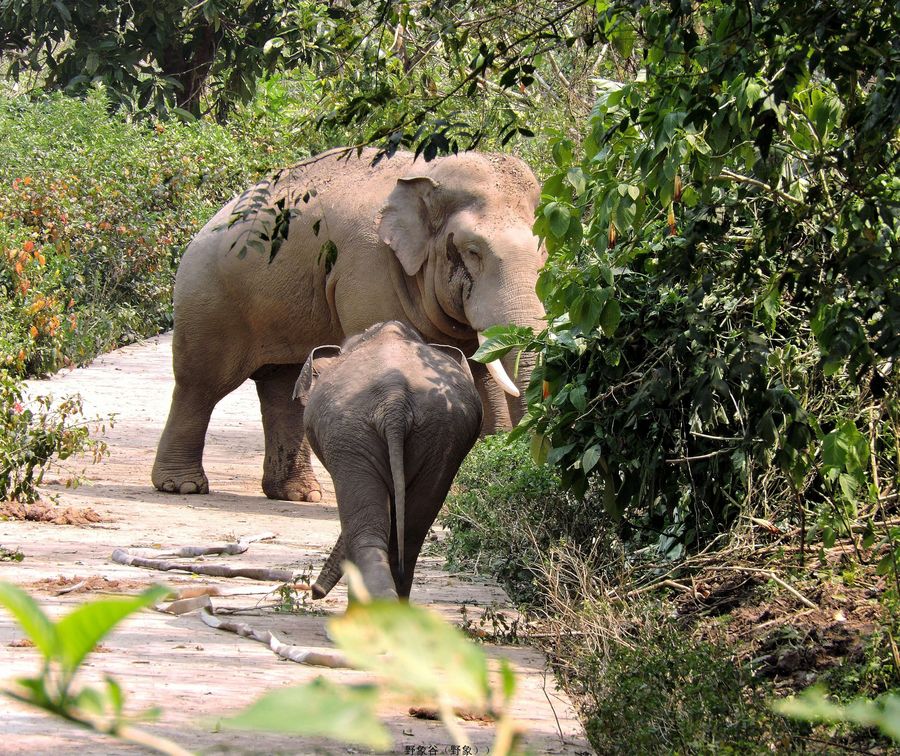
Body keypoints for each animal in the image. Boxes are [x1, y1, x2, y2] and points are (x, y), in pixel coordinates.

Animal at [152, 148, 544, 502]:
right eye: (473, 251)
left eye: (544, 253)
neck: (427, 174)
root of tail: (211, 219)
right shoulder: (368, 271)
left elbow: (481, 377)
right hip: (208, 297)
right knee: (202, 383)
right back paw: (181, 486)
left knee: (283, 387)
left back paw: (298, 494)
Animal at [296, 318, 482, 596]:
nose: (315, 591)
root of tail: (395, 399)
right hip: (440, 438)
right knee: (411, 534)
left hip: (350, 436)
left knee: (366, 534)